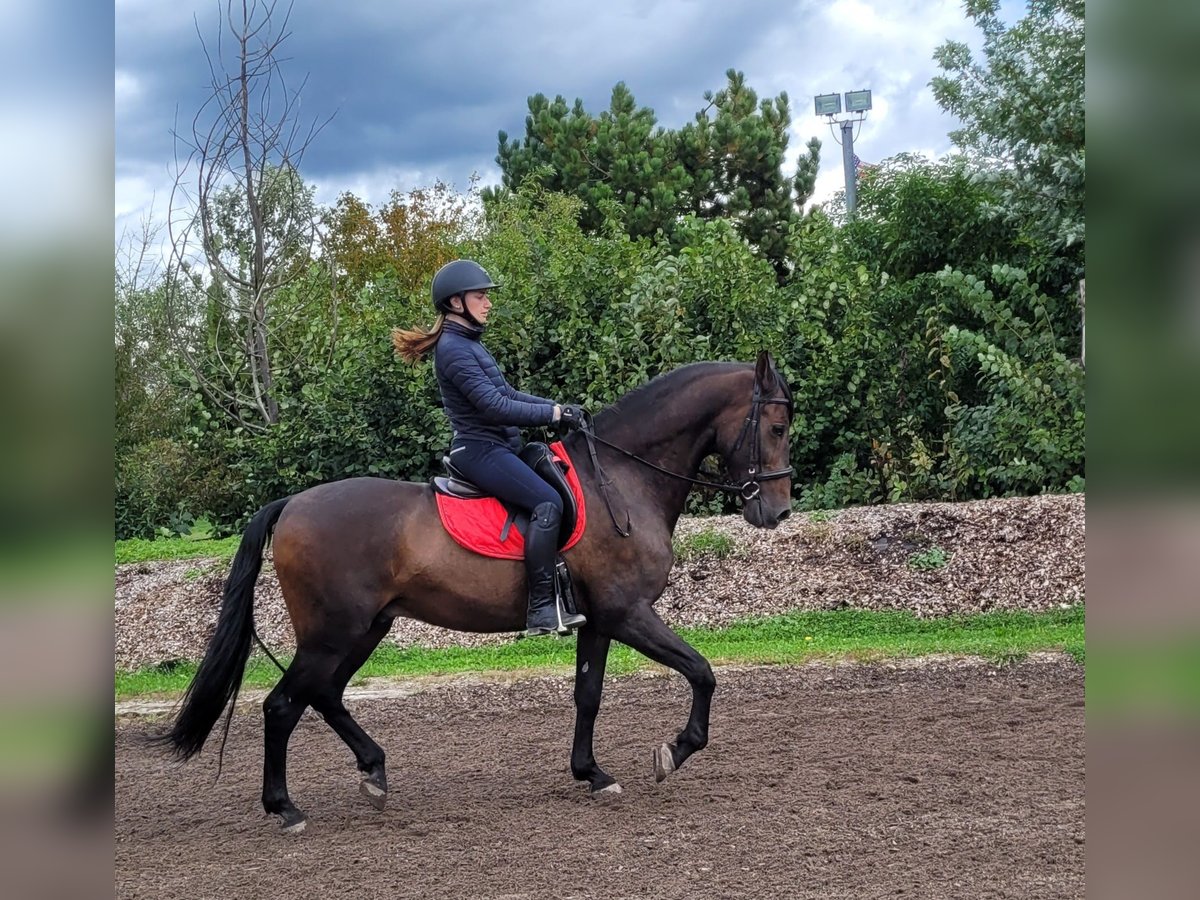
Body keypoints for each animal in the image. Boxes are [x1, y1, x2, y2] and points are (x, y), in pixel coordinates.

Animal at [159, 348, 796, 835]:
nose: (777, 510)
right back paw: (285, 808)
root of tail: (292, 503)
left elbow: (588, 696)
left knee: (324, 695)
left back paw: (373, 772)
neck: (621, 479)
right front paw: (673, 751)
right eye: (776, 427)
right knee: (283, 705)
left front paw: (592, 774)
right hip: (332, 634)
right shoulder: (628, 613)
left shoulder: (599, 621)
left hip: (365, 629)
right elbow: (702, 672)